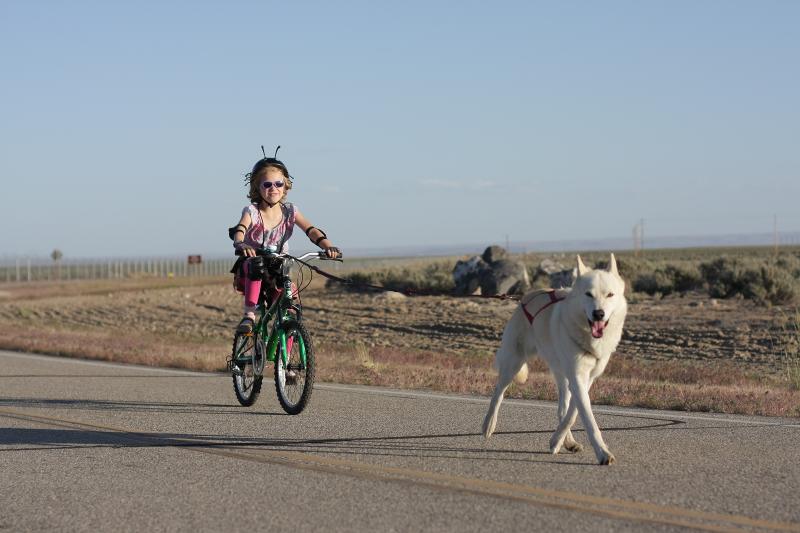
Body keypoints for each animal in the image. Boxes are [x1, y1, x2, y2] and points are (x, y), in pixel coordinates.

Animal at [484, 251, 628, 464]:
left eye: (610, 295)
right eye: (588, 294)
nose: (598, 314)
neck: (588, 338)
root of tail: (525, 297)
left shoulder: (587, 378)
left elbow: (573, 413)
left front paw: (558, 440)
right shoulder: (577, 376)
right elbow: (587, 418)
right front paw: (602, 453)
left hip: (560, 374)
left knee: (562, 407)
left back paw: (568, 442)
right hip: (513, 364)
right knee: (497, 394)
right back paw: (488, 425)